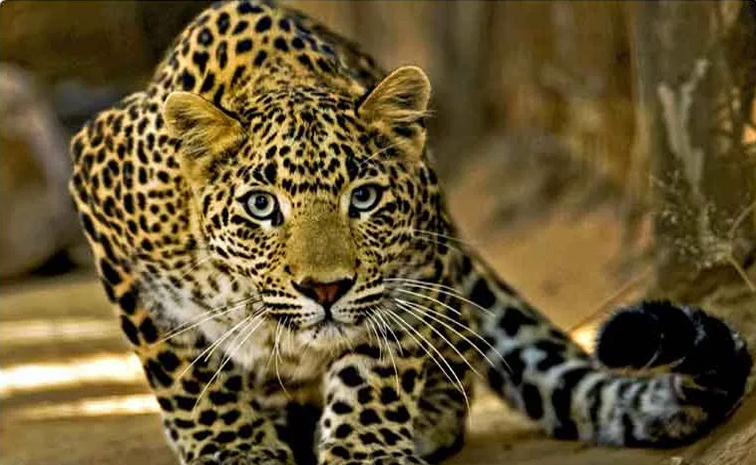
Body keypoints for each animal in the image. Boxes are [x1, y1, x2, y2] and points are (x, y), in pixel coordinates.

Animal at [68, 1, 752, 464]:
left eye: (365, 198)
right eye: (262, 207)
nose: (326, 290)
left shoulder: (413, 269)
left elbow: (377, 366)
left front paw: (364, 450)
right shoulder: (99, 192)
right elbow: (181, 366)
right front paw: (235, 450)